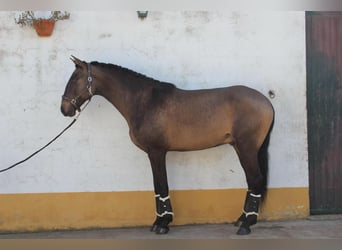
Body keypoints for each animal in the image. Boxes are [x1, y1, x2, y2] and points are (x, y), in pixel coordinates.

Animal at [60, 55, 276, 235]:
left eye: (74, 79)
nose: (64, 109)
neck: (145, 101)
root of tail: (266, 101)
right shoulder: (156, 153)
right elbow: (158, 186)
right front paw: (159, 222)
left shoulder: (156, 152)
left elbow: (161, 185)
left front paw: (162, 224)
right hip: (240, 148)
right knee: (251, 181)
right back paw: (241, 219)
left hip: (247, 148)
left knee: (255, 180)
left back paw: (246, 225)